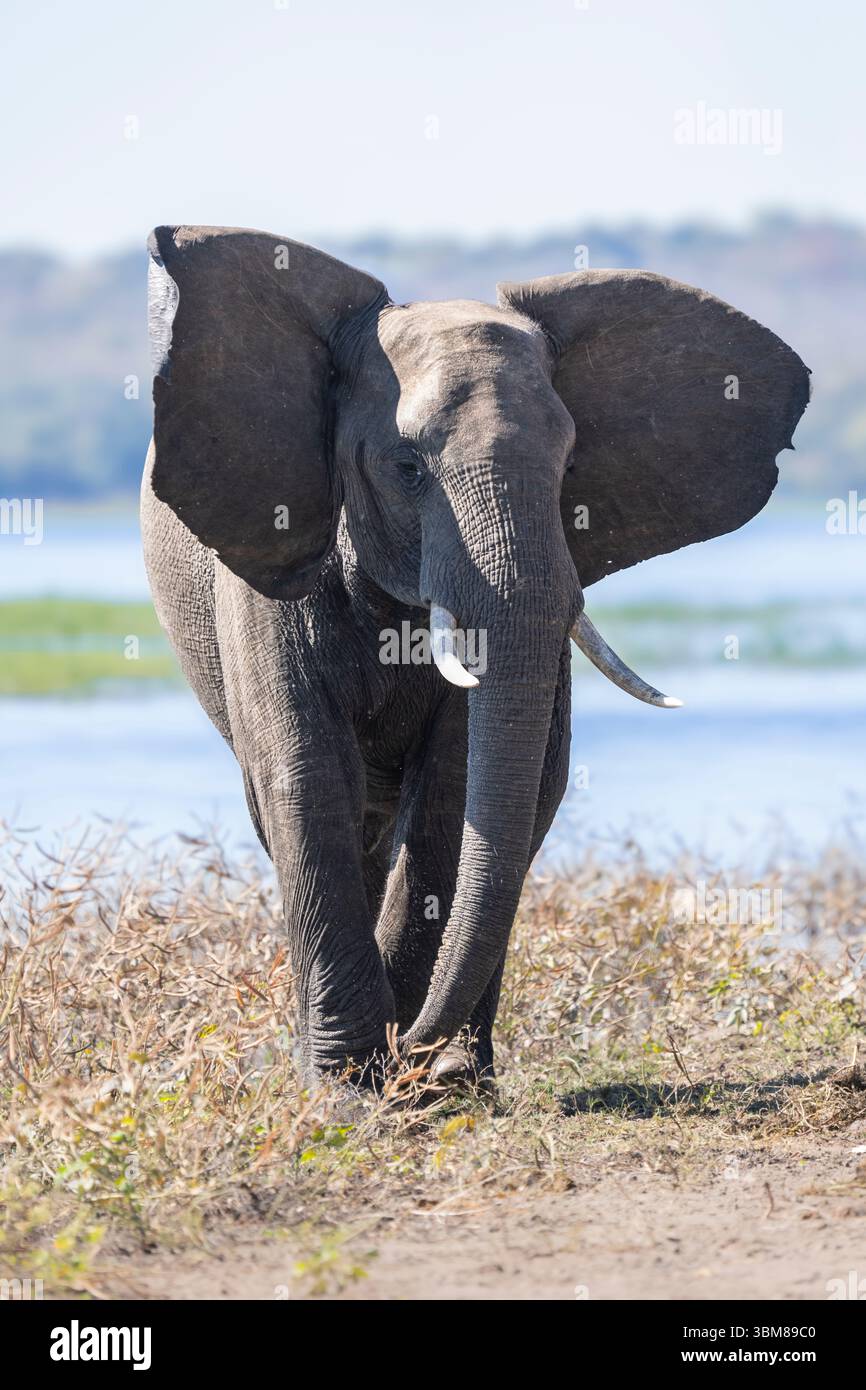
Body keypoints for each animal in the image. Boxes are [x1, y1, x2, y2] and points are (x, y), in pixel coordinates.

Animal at [141, 225, 809, 1088]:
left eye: (569, 468)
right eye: (406, 468)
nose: (410, 1049)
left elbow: (455, 787)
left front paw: (419, 1077)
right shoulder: (273, 561)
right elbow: (306, 769)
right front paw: (349, 1087)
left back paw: (459, 1066)